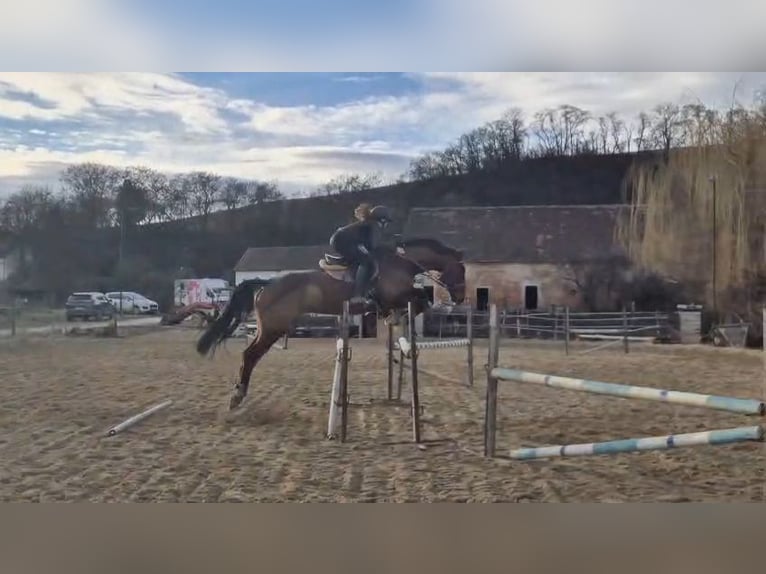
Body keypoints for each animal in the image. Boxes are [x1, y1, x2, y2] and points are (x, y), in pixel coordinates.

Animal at [196, 237, 466, 410]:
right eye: (461, 271)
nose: (461, 297)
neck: (402, 263)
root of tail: (267, 283)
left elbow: (418, 298)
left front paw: (396, 318)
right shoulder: (395, 295)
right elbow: (420, 298)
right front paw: (397, 317)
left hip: (270, 328)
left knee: (249, 355)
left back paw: (237, 395)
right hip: (273, 329)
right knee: (250, 355)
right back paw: (237, 396)